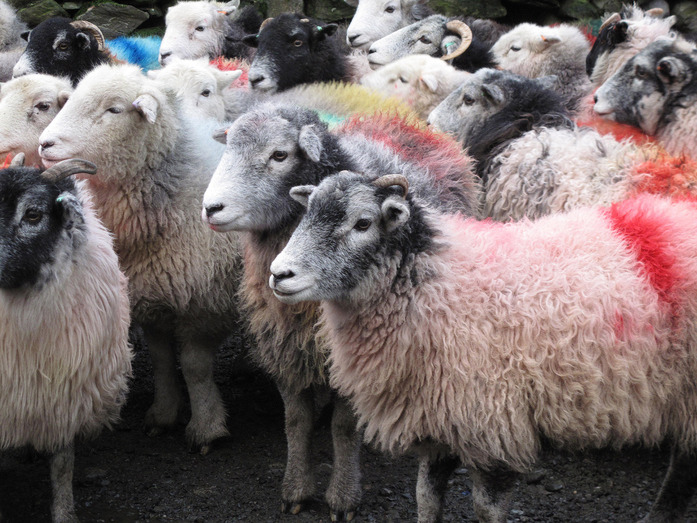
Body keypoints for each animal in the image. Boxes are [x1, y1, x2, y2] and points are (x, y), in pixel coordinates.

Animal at [38, 63, 244, 454]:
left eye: (114, 109)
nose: (44, 144)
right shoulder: (152, 295)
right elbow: (162, 361)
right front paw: (162, 415)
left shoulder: (204, 302)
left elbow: (194, 367)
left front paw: (206, 428)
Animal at [201, 103, 478, 519]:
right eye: (228, 146)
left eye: (279, 155)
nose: (210, 208)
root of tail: (401, 118)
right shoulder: (286, 344)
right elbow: (295, 422)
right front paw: (296, 489)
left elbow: (344, 428)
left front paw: (343, 497)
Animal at [269, 171, 697, 522]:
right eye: (307, 214)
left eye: (362, 223)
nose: (278, 274)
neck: (437, 282)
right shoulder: (437, 417)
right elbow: (425, 497)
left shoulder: (495, 422)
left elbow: (486, 509)